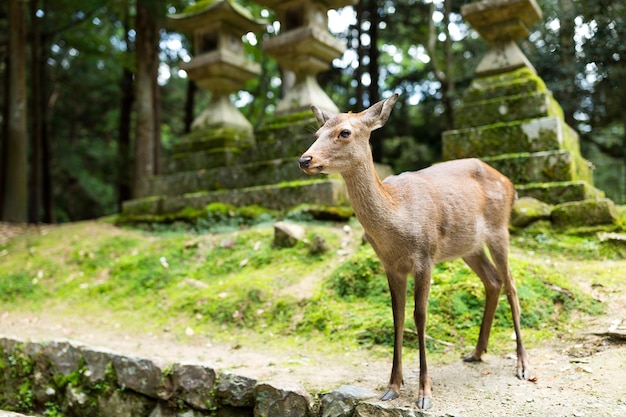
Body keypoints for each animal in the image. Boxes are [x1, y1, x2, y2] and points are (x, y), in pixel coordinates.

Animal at [296, 92, 528, 408]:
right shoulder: (390, 264)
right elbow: (397, 315)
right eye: (317, 133)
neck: (397, 217)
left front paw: (424, 393)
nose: (305, 159)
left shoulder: (425, 255)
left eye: (344, 132)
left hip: (500, 229)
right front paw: (392, 386)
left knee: (511, 284)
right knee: (493, 281)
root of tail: (510, 183)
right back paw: (476, 352)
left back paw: (522, 365)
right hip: (468, 246)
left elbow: (420, 315)